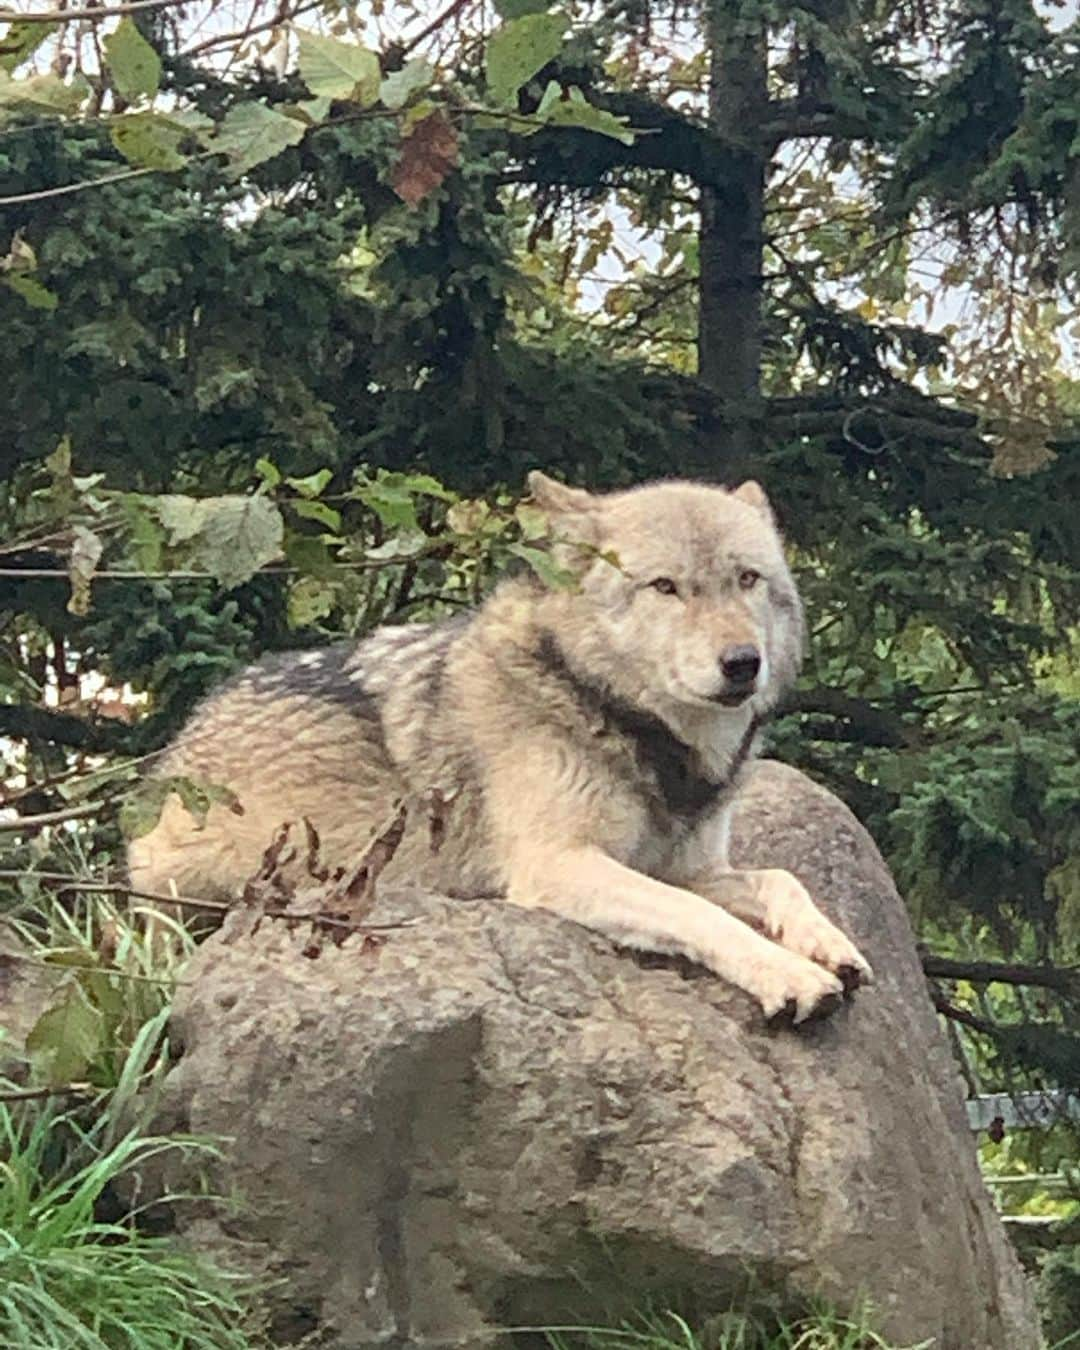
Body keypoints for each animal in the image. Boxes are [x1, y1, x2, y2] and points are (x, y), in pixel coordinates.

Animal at [128, 475, 869, 1020]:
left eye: (747, 579)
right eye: (665, 586)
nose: (743, 663)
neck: (625, 724)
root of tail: (184, 739)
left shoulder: (684, 866)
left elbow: (782, 878)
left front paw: (828, 943)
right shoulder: (561, 864)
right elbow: (699, 915)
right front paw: (788, 976)